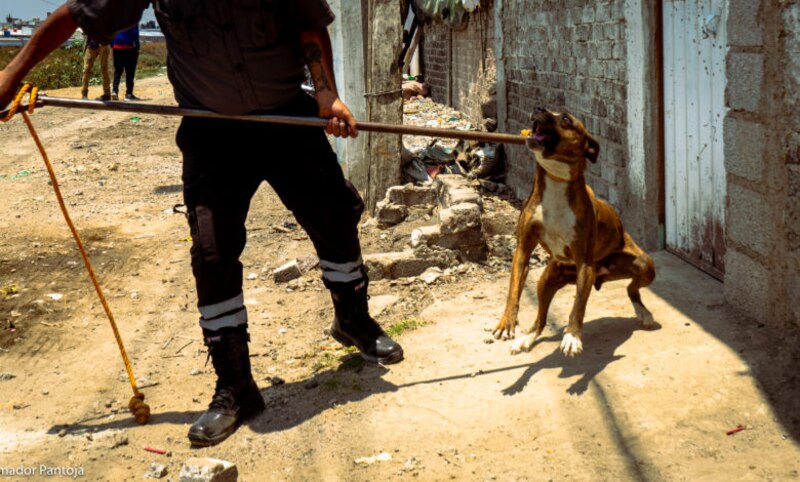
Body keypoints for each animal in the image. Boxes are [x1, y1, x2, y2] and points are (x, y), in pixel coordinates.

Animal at [494, 107, 656, 356]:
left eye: (565, 119)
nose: (538, 108)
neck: (556, 180)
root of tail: (602, 276)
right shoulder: (523, 250)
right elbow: (513, 290)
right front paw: (507, 322)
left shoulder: (585, 264)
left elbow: (578, 305)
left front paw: (572, 336)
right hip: (547, 280)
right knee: (541, 319)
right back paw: (527, 339)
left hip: (644, 266)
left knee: (632, 289)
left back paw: (643, 312)